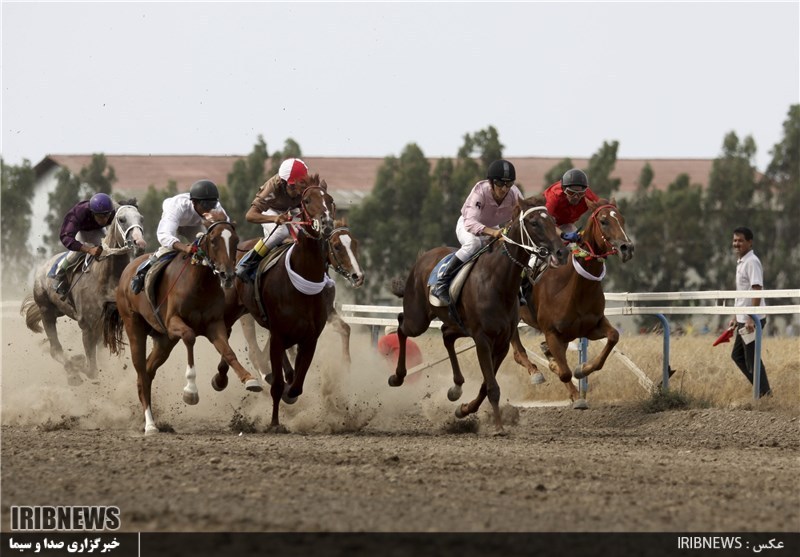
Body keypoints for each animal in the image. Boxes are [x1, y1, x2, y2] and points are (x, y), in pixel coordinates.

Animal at [21, 202, 147, 384]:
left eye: (141, 218)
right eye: (122, 219)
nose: (139, 243)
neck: (106, 278)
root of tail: (42, 269)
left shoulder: (108, 322)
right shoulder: (87, 326)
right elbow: (92, 370)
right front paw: (80, 365)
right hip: (46, 311)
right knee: (55, 350)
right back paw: (72, 374)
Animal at [101, 211, 260, 432]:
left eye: (235, 240)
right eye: (213, 240)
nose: (227, 275)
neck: (199, 283)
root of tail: (126, 274)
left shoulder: (214, 324)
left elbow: (228, 351)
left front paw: (248, 379)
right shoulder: (173, 323)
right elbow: (190, 336)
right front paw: (190, 391)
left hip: (164, 341)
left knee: (148, 371)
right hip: (135, 327)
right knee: (141, 371)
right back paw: (150, 424)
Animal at [230, 176, 336, 428]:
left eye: (329, 199)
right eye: (307, 200)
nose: (326, 223)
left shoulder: (310, 337)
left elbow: (296, 384)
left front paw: (290, 392)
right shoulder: (279, 333)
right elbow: (278, 384)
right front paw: (274, 422)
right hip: (241, 313)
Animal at [390, 197, 564, 434]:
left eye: (553, 220)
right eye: (534, 222)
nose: (561, 252)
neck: (497, 282)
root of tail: (422, 257)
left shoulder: (501, 343)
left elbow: (486, 384)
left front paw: (464, 410)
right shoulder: (482, 339)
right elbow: (492, 386)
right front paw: (499, 427)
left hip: (457, 324)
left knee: (445, 335)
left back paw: (455, 387)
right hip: (418, 319)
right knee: (401, 325)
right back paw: (397, 377)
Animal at [512, 198, 636, 406]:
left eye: (622, 219)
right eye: (604, 221)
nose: (627, 248)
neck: (575, 287)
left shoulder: (591, 326)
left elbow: (613, 337)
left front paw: (582, 369)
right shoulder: (552, 332)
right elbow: (564, 372)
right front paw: (575, 394)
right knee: (517, 350)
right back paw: (535, 371)